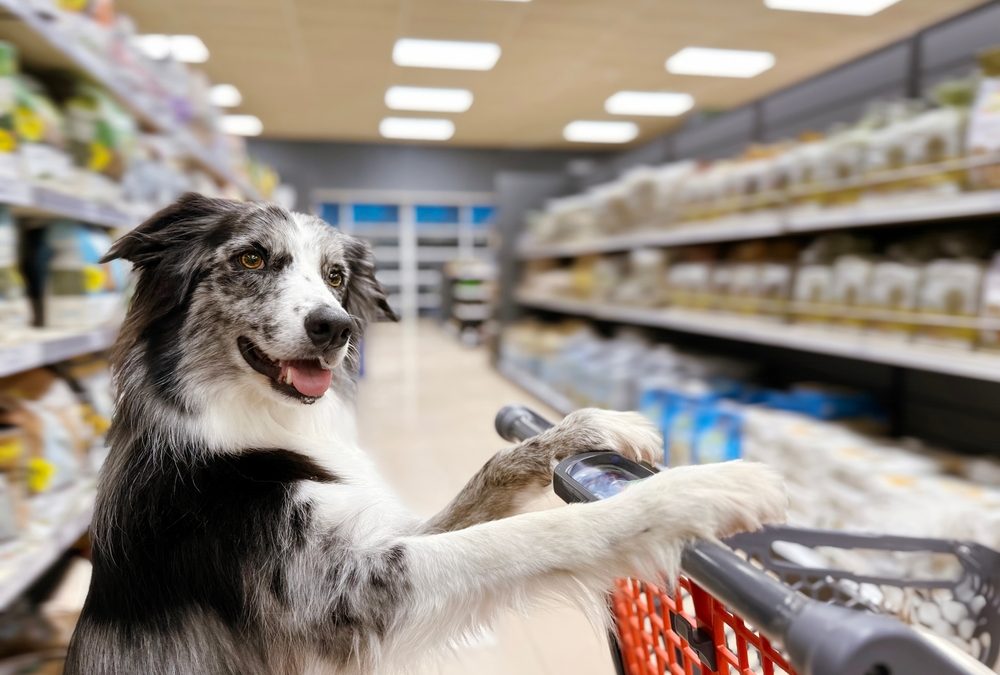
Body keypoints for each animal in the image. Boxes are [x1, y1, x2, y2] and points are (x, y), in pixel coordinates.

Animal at [68, 193, 788, 672]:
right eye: (250, 259)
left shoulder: (388, 536)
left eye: (334, 276)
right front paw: (695, 491)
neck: (252, 418)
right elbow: (532, 534)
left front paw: (593, 423)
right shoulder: (342, 595)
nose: (336, 327)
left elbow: (495, 475)